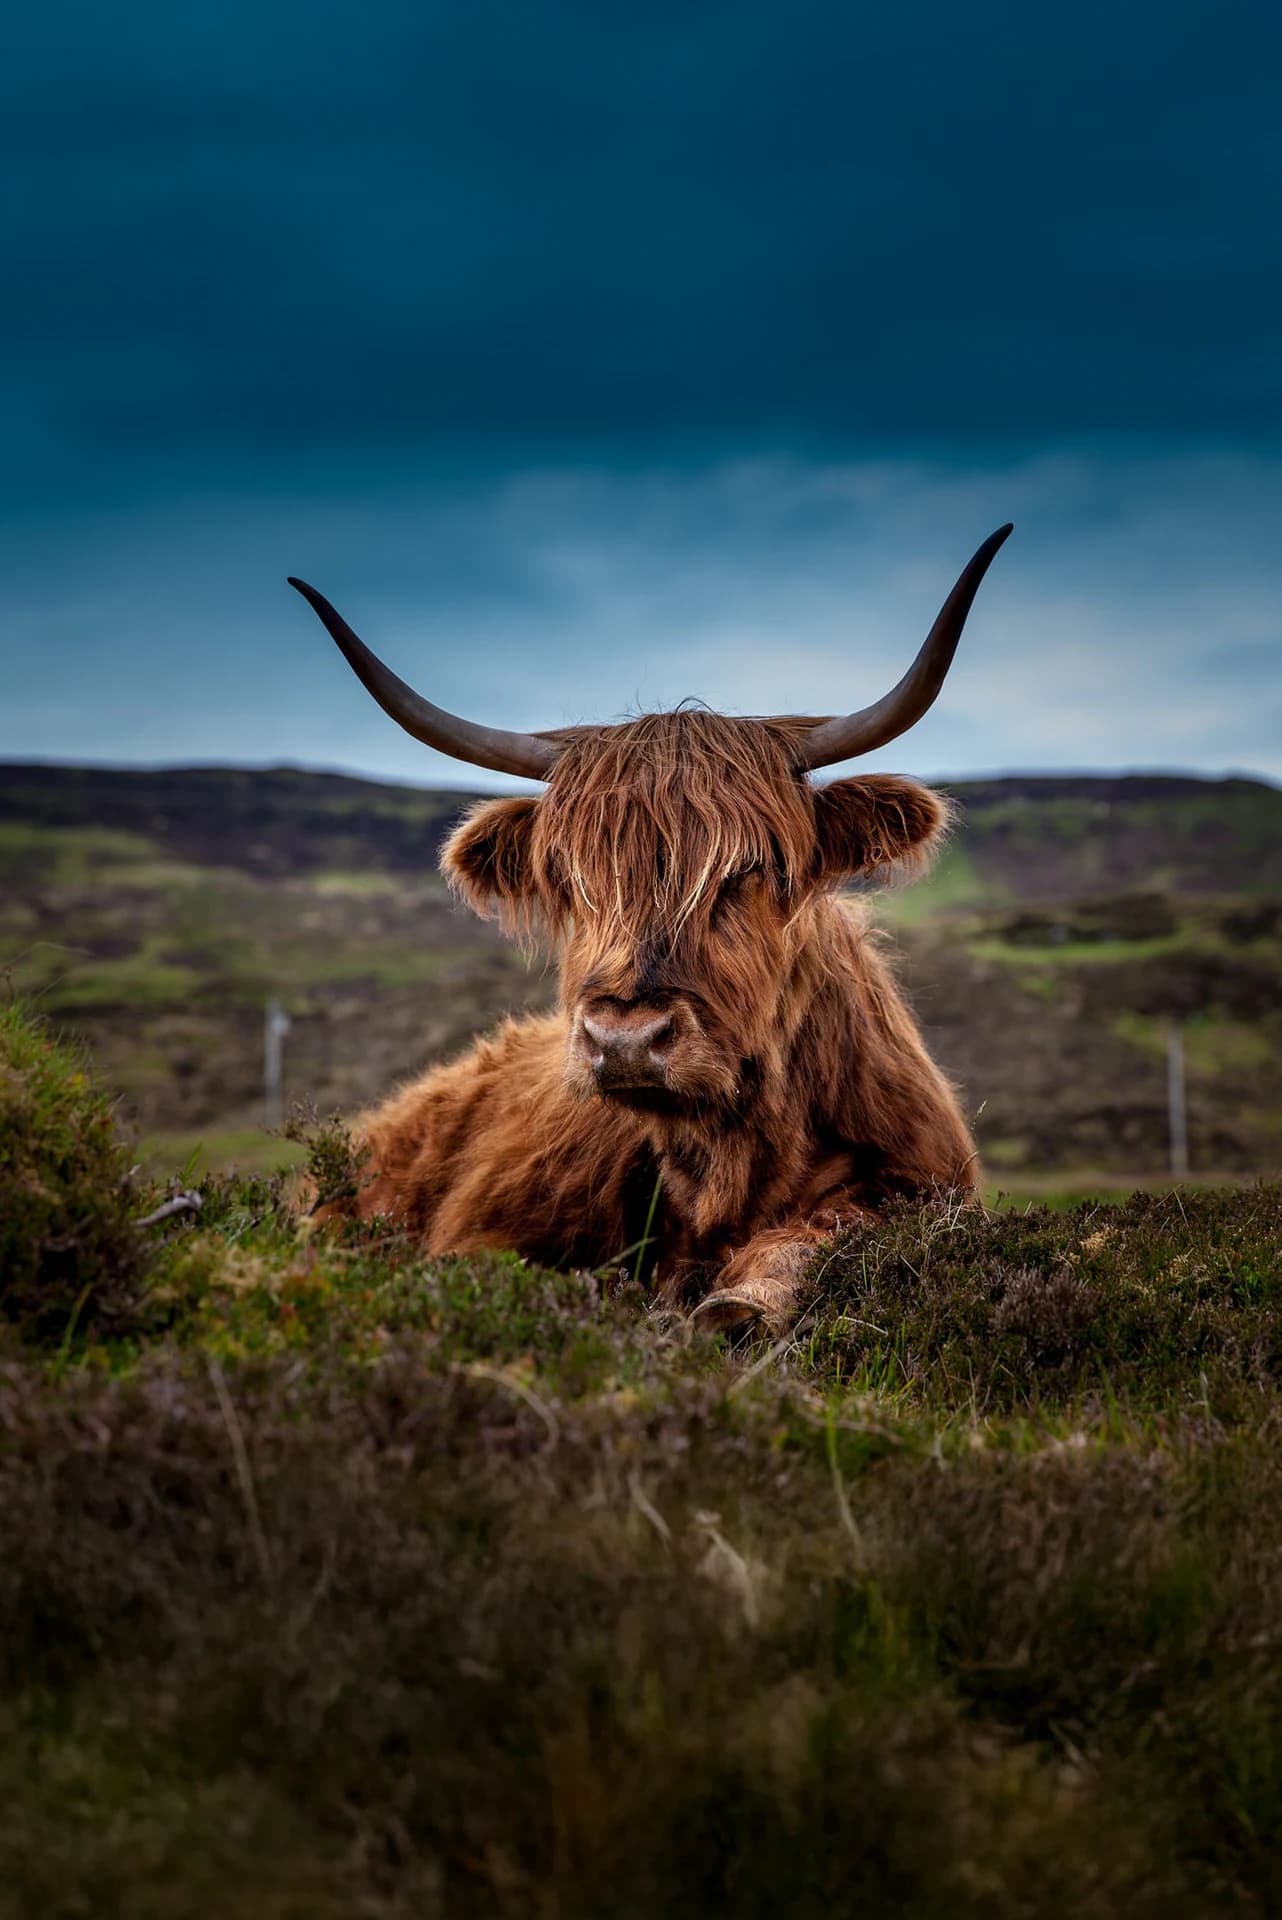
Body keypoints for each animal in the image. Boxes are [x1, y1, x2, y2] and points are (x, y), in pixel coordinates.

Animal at [288, 526, 1011, 1332]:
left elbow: (830, 1231)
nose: (625, 1040)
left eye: (749, 868)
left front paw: (741, 1302)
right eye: (568, 877)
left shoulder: (920, 1186)